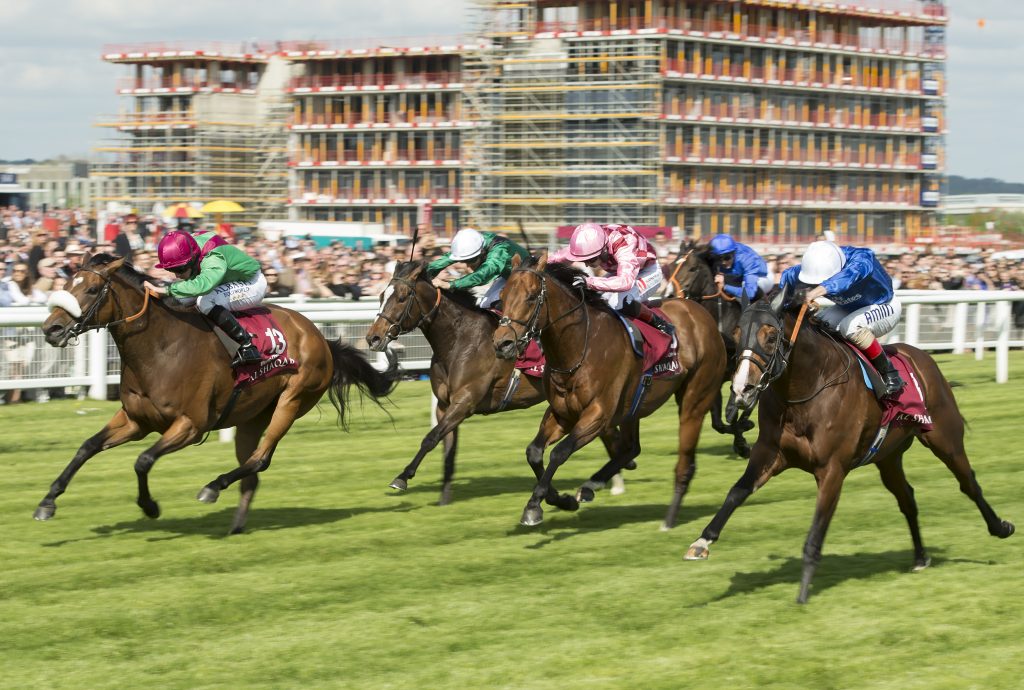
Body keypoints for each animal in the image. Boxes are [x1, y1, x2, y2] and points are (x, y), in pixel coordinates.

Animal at [37, 252, 395, 532]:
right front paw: (47, 502)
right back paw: (235, 525)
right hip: (252, 417)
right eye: (66, 287)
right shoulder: (136, 421)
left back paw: (212, 487)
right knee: (252, 469)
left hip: (292, 401)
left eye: (91, 289)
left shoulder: (190, 425)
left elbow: (143, 460)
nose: (51, 329)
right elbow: (86, 447)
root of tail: (320, 337)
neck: (159, 347)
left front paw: (150, 506)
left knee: (260, 459)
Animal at [362, 261, 614, 501]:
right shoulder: (444, 405)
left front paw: (403, 477)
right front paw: (444, 497)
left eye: (402, 297)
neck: (459, 340)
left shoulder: (465, 401)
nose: (373, 338)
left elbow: (430, 438)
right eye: (381, 296)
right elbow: (447, 447)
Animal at [491, 252, 724, 528]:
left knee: (684, 462)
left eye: (530, 296)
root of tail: (702, 313)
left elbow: (559, 452)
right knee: (631, 448)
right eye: (502, 296)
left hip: (694, 402)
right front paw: (559, 500)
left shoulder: (598, 415)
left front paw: (534, 506)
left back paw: (668, 520)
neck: (579, 347)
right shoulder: (562, 413)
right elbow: (534, 452)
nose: (502, 344)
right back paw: (591, 485)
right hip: (634, 407)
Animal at [667, 241, 757, 456]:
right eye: (672, 265)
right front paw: (741, 442)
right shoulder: (714, 376)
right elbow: (718, 423)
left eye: (692, 268)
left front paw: (743, 435)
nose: (670, 295)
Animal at [684, 286, 1011, 597]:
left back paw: (1000, 527)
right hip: (888, 457)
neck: (807, 387)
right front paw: (701, 542)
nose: (742, 389)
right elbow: (737, 492)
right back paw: (920, 557)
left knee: (968, 482)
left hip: (945, 438)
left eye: (771, 335)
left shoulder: (832, 469)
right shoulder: (770, 453)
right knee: (907, 498)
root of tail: (922, 358)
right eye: (737, 333)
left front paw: (803, 592)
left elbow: (817, 529)